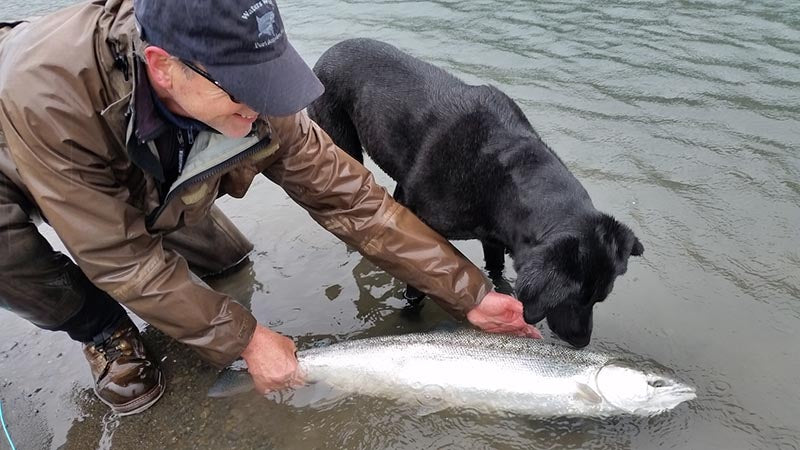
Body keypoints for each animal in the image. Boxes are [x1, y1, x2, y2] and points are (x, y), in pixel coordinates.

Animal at [306, 38, 644, 348]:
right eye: (575, 299)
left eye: (599, 299)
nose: (582, 341)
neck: (502, 176)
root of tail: (332, 49)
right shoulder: (426, 236)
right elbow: (418, 286)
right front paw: (409, 321)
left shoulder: (493, 239)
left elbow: (496, 272)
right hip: (342, 145)